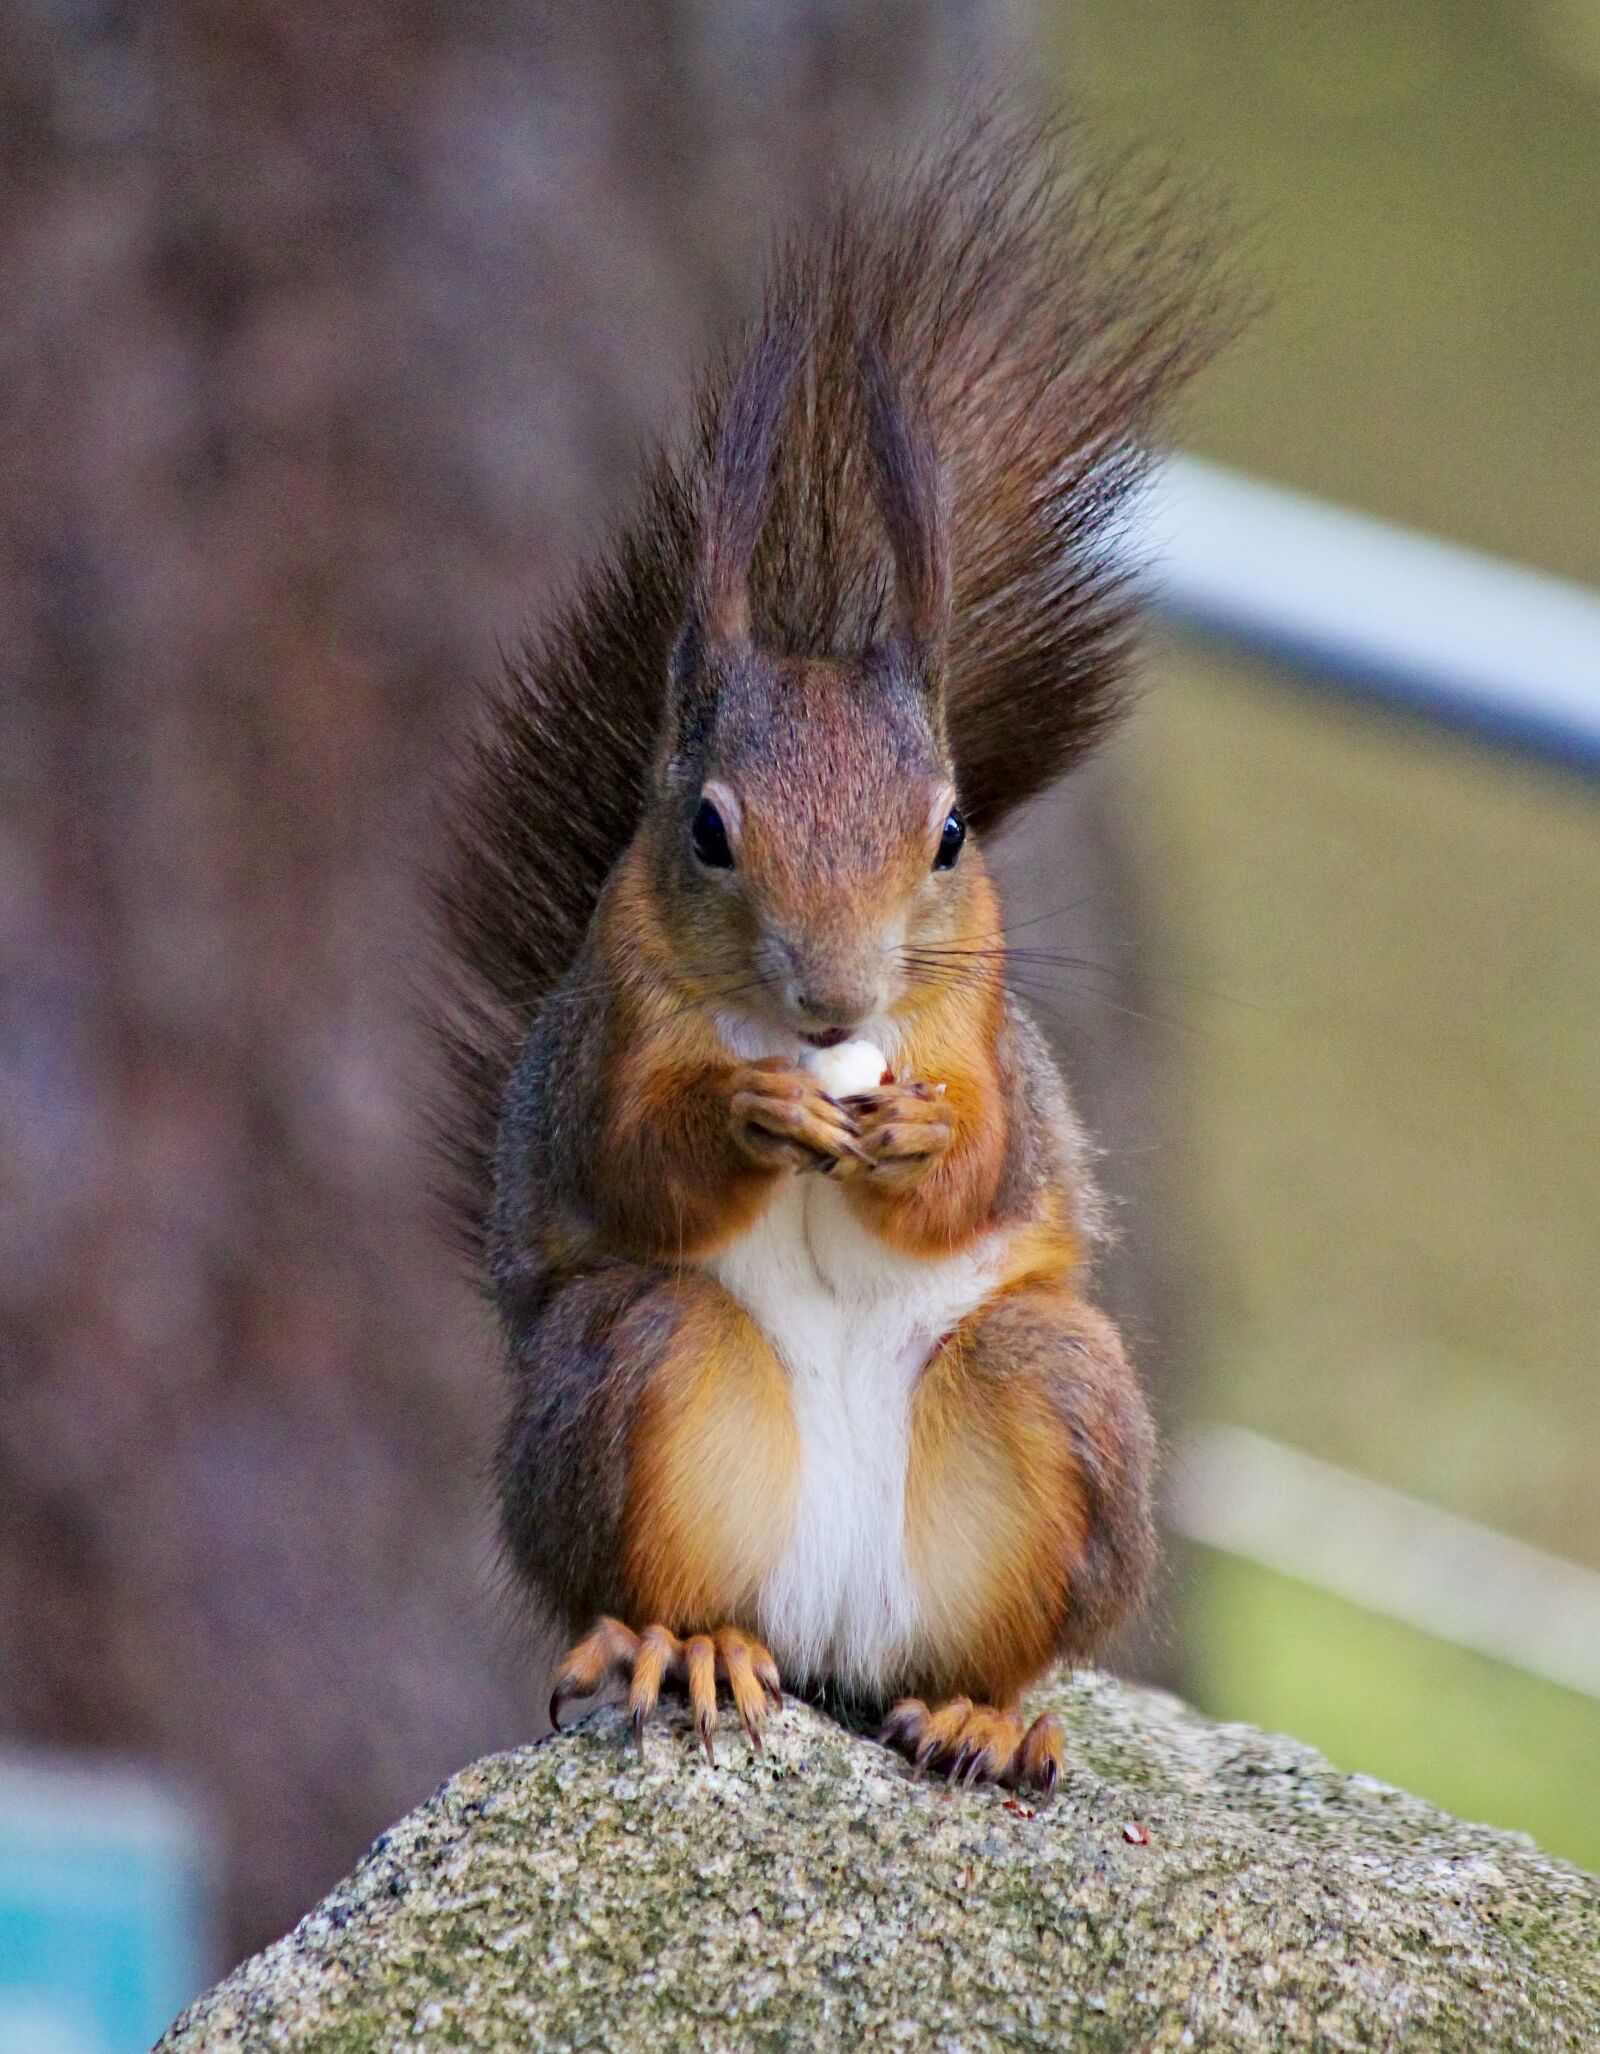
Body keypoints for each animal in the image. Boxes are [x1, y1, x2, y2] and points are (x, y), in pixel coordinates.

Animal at [434, 120, 1229, 1795]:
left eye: (951, 832)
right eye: (707, 829)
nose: (840, 999)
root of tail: (834, 1639)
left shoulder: (988, 1033)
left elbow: (990, 1169)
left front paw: (918, 1130)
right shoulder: (605, 1036)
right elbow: (629, 1163)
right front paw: (743, 1116)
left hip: (1054, 1394)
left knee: (979, 1632)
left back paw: (982, 1715)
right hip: (635, 1373)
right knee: (666, 1536)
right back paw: (683, 1646)